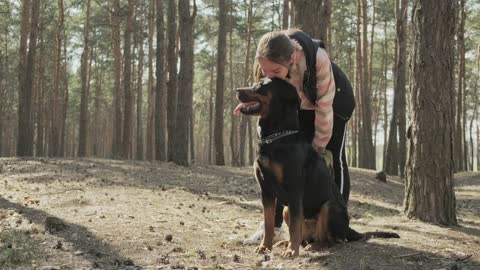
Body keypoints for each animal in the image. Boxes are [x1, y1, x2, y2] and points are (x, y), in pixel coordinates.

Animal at [235, 77, 398, 256]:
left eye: (259, 86)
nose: (236, 90)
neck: (276, 137)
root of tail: (349, 229)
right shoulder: (266, 190)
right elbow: (269, 223)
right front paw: (265, 247)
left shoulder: (294, 190)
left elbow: (294, 226)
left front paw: (292, 252)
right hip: (287, 210)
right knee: (305, 237)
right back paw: (287, 243)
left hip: (328, 207)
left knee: (332, 240)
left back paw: (313, 246)